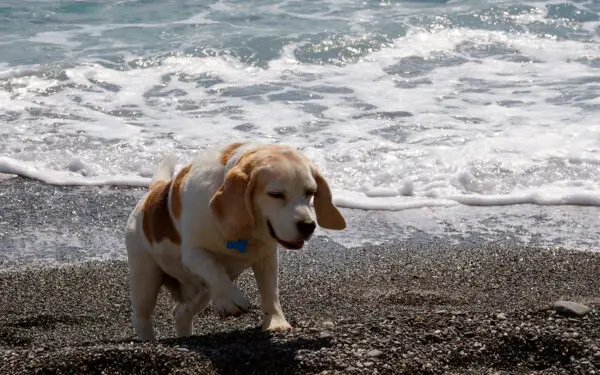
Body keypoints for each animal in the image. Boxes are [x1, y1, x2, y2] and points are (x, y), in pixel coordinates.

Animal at [123, 142, 346, 342]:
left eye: (310, 192)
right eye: (275, 195)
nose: (308, 226)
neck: (247, 233)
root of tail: (152, 193)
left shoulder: (267, 258)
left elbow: (270, 292)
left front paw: (275, 322)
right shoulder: (193, 253)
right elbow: (214, 268)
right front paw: (232, 301)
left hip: (201, 291)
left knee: (180, 312)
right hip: (146, 279)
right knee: (142, 317)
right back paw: (148, 341)